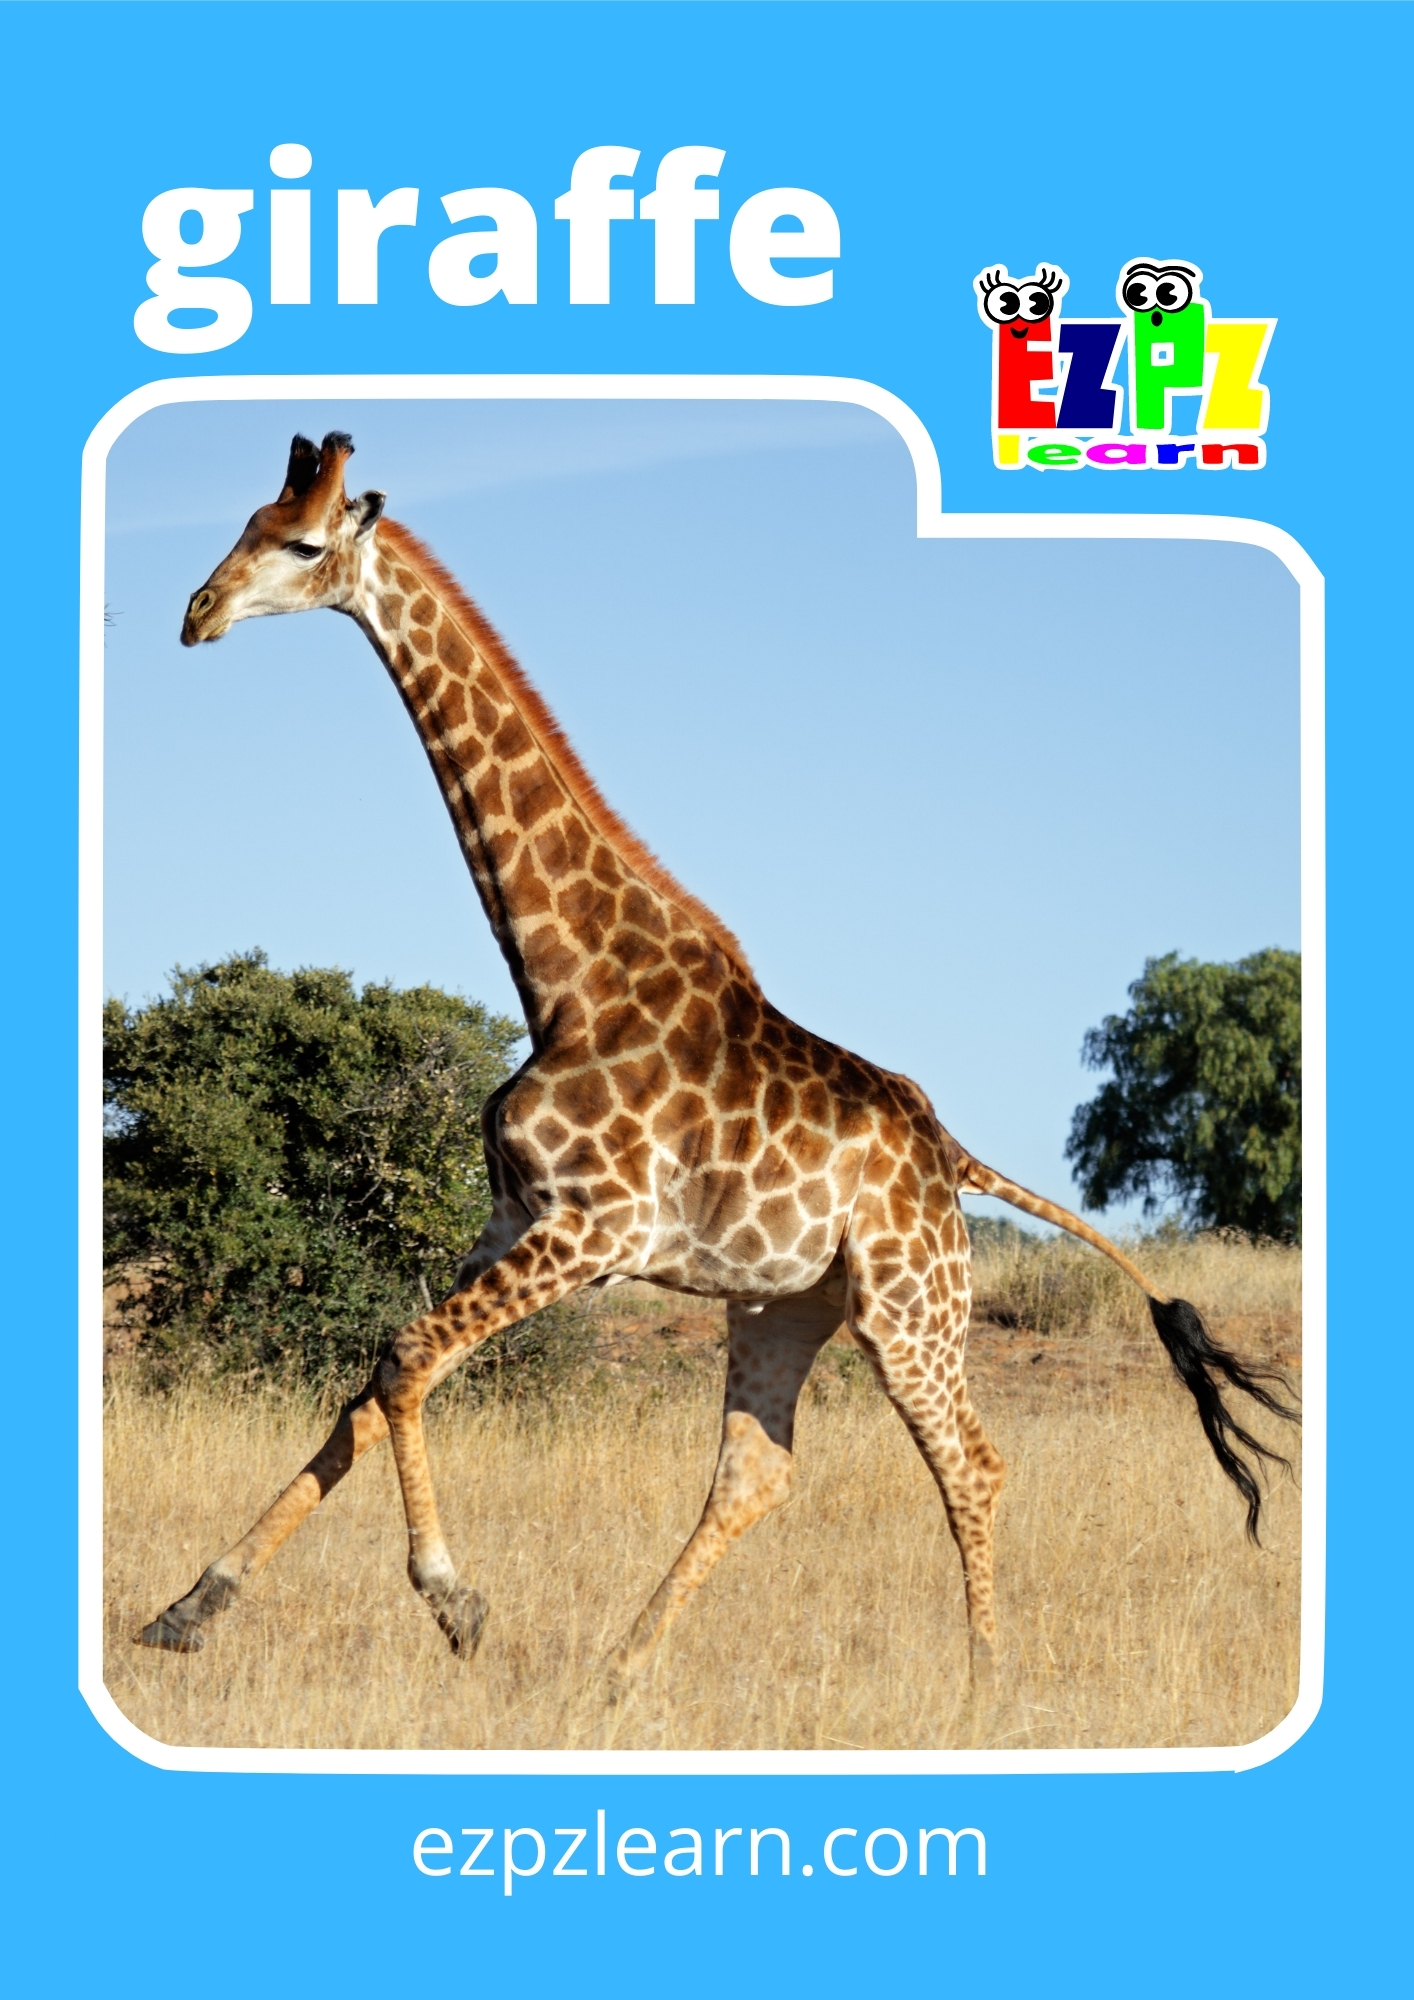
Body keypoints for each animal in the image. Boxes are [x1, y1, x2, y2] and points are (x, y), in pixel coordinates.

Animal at [138, 431, 1298, 1682]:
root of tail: (953, 1156)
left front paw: (457, 1603)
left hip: (911, 1304)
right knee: (756, 1469)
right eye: (248, 522)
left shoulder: (589, 1231)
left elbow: (400, 1360)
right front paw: (187, 1607)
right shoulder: (511, 1219)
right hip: (784, 1303)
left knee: (971, 1461)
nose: (197, 612)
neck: (564, 980)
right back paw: (619, 1669)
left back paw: (981, 1681)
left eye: (303, 543)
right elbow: (365, 1388)